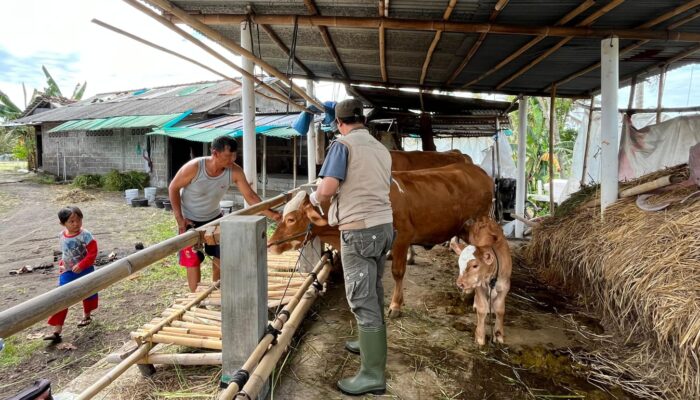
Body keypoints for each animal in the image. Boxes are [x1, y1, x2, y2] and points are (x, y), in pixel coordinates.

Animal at [268, 160, 492, 318]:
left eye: (291, 218)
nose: (270, 244)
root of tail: (479, 171)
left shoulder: (401, 239)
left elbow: (397, 273)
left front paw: (395, 306)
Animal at [452, 217, 512, 346]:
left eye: (475, 265)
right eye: (459, 263)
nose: (460, 283)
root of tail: (485, 219)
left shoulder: (505, 286)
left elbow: (500, 309)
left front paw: (499, 334)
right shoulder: (479, 286)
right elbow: (482, 309)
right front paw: (480, 336)